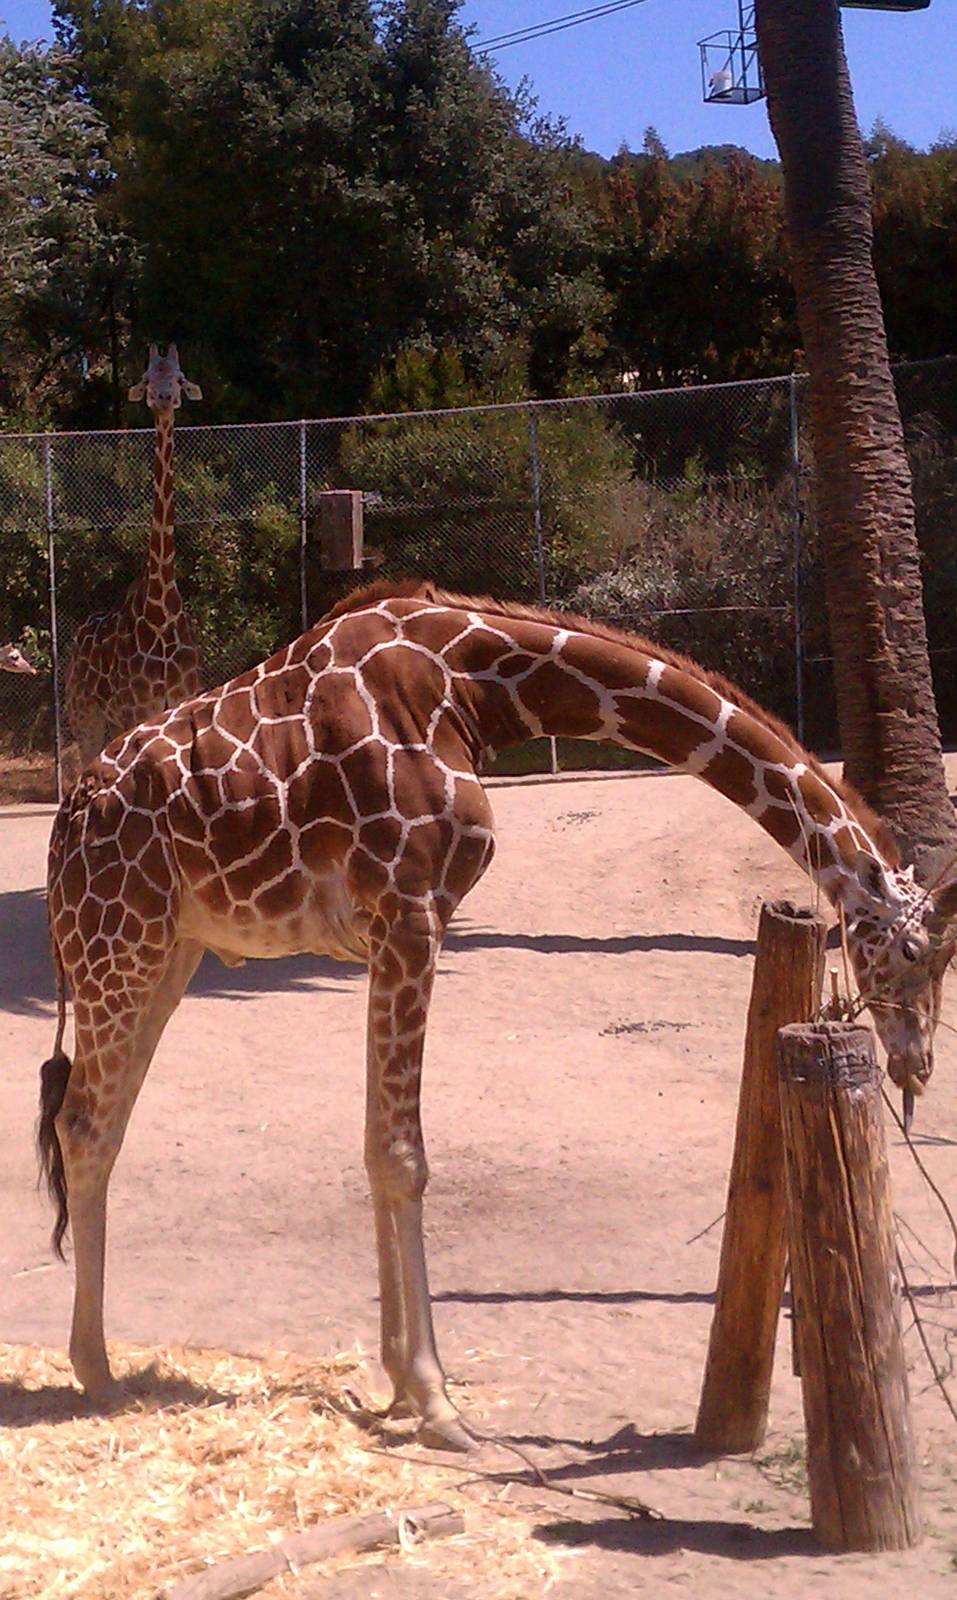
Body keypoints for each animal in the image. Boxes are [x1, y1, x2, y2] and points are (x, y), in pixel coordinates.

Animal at [39, 580, 957, 1449]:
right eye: (918, 950)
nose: (916, 1066)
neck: (470, 686)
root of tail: (67, 821)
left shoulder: (393, 927)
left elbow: (374, 1145)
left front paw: (399, 1388)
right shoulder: (411, 912)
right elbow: (401, 1156)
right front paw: (437, 1403)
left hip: (170, 951)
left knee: (99, 1126)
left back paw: (98, 1365)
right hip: (121, 941)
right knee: (81, 1126)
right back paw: (96, 1372)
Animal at [64, 344, 202, 769]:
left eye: (179, 378)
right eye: (146, 379)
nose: (163, 399)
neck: (161, 616)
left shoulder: (184, 701)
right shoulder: (136, 710)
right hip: (84, 715)